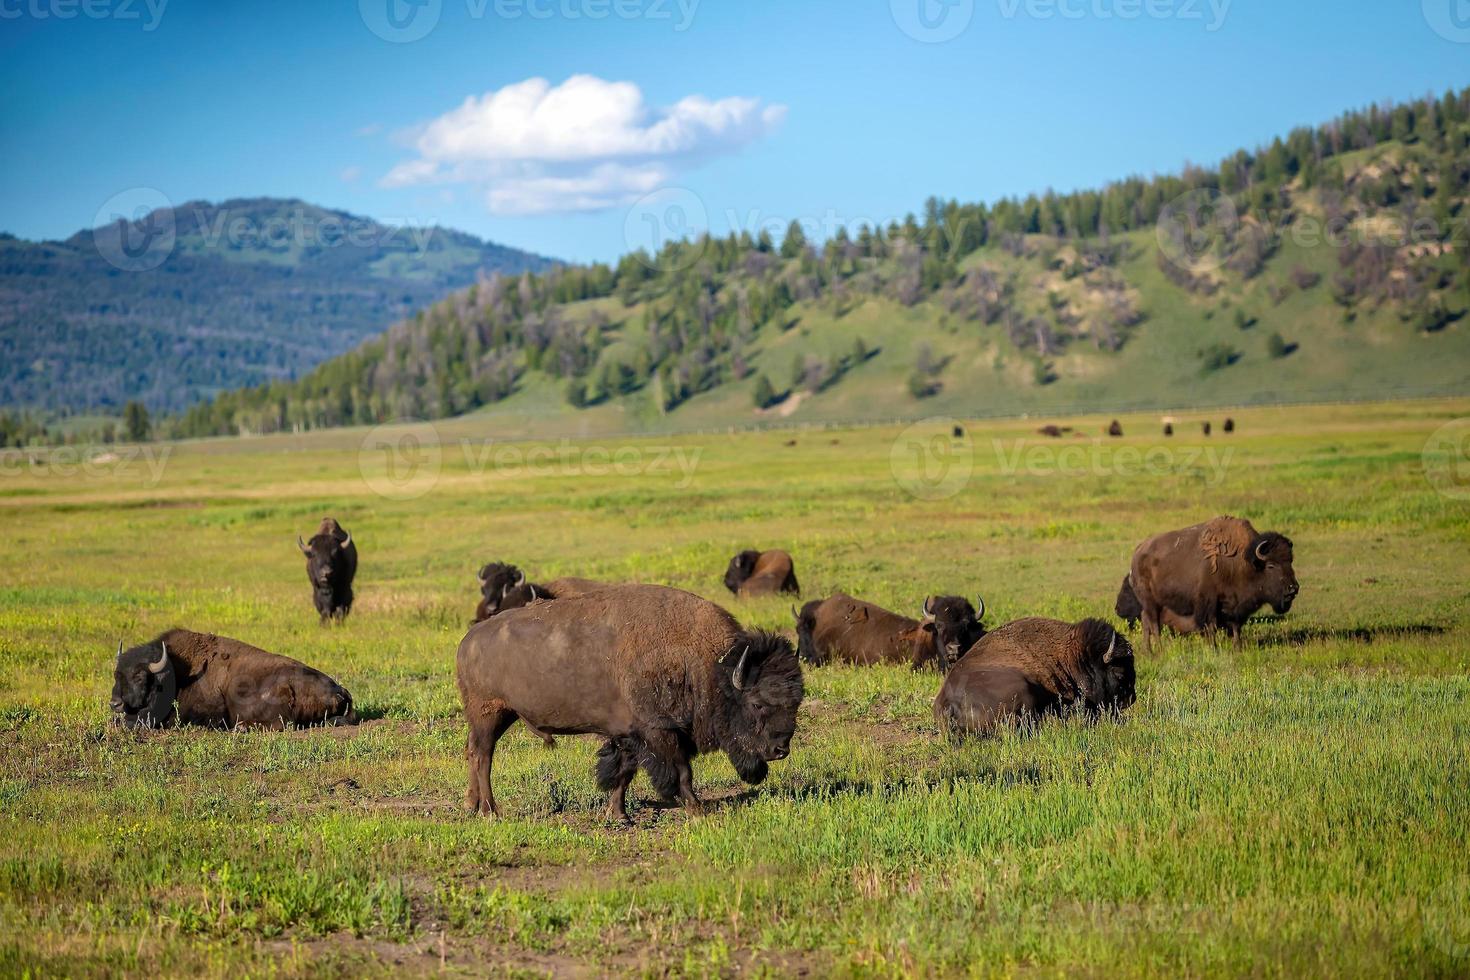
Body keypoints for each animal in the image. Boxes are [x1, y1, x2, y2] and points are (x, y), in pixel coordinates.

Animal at [455, 587, 805, 822]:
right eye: (757, 704)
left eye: (796, 702)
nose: (780, 749)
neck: (705, 665)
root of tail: (468, 640)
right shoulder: (659, 733)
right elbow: (681, 773)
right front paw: (697, 811)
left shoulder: (629, 735)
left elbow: (623, 773)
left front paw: (619, 814)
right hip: (490, 714)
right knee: (483, 756)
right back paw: (490, 811)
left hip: (497, 717)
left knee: (472, 752)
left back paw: (471, 805)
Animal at [1123, 514, 1299, 652]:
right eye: (1271, 565)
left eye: (1290, 561)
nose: (1293, 589)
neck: (1243, 562)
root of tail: (1137, 553)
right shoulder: (1209, 602)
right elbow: (1211, 627)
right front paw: (1213, 648)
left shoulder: (1235, 605)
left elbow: (1236, 626)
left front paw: (1237, 647)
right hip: (1151, 602)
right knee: (1154, 623)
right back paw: (1160, 649)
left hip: (1153, 603)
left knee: (1146, 620)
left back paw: (1148, 651)